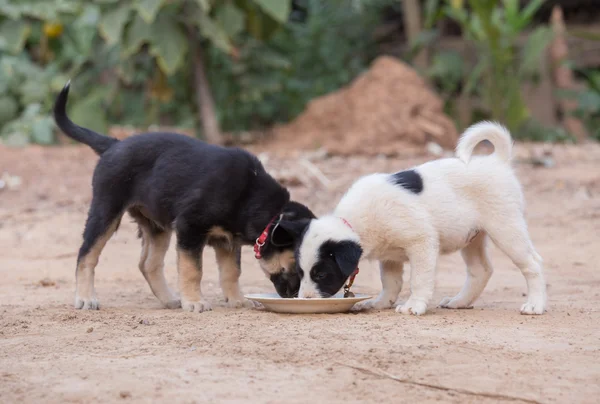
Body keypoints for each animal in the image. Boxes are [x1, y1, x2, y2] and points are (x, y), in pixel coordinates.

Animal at [54, 80, 314, 310]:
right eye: (298, 266)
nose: (294, 295)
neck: (254, 199)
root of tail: (113, 144)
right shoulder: (190, 227)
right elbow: (193, 271)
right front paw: (195, 302)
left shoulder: (228, 240)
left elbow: (231, 272)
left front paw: (237, 300)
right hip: (106, 209)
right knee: (86, 255)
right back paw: (86, 298)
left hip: (156, 224)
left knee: (148, 264)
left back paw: (169, 299)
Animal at [296, 122, 548, 316]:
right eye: (300, 273)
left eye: (320, 274)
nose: (305, 299)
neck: (355, 223)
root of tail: (498, 161)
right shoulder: (389, 257)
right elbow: (391, 283)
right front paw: (381, 303)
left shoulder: (421, 242)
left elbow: (418, 279)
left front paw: (413, 305)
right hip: (473, 237)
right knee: (481, 270)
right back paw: (459, 302)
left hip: (506, 228)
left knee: (532, 264)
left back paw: (535, 304)